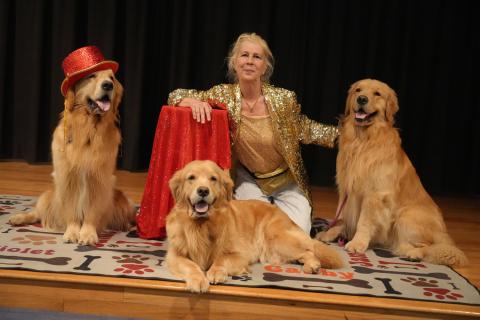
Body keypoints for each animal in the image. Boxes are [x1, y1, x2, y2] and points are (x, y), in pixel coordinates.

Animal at [8, 45, 135, 245]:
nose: (108, 85)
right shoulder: (67, 176)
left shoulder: (99, 177)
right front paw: (73, 232)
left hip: (122, 200)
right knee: (38, 211)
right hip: (50, 195)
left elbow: (91, 212)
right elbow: (71, 211)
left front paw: (88, 233)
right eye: (91, 76)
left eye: (112, 78)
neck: (88, 128)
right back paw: (18, 217)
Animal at [167, 160, 344, 292]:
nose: (203, 191)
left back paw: (312, 265)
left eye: (213, 178)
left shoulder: (240, 254)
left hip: (276, 238)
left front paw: (216, 272)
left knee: (309, 250)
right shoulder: (175, 255)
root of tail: (282, 213)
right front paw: (198, 280)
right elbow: (190, 265)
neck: (202, 226)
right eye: (191, 178)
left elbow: (221, 259)